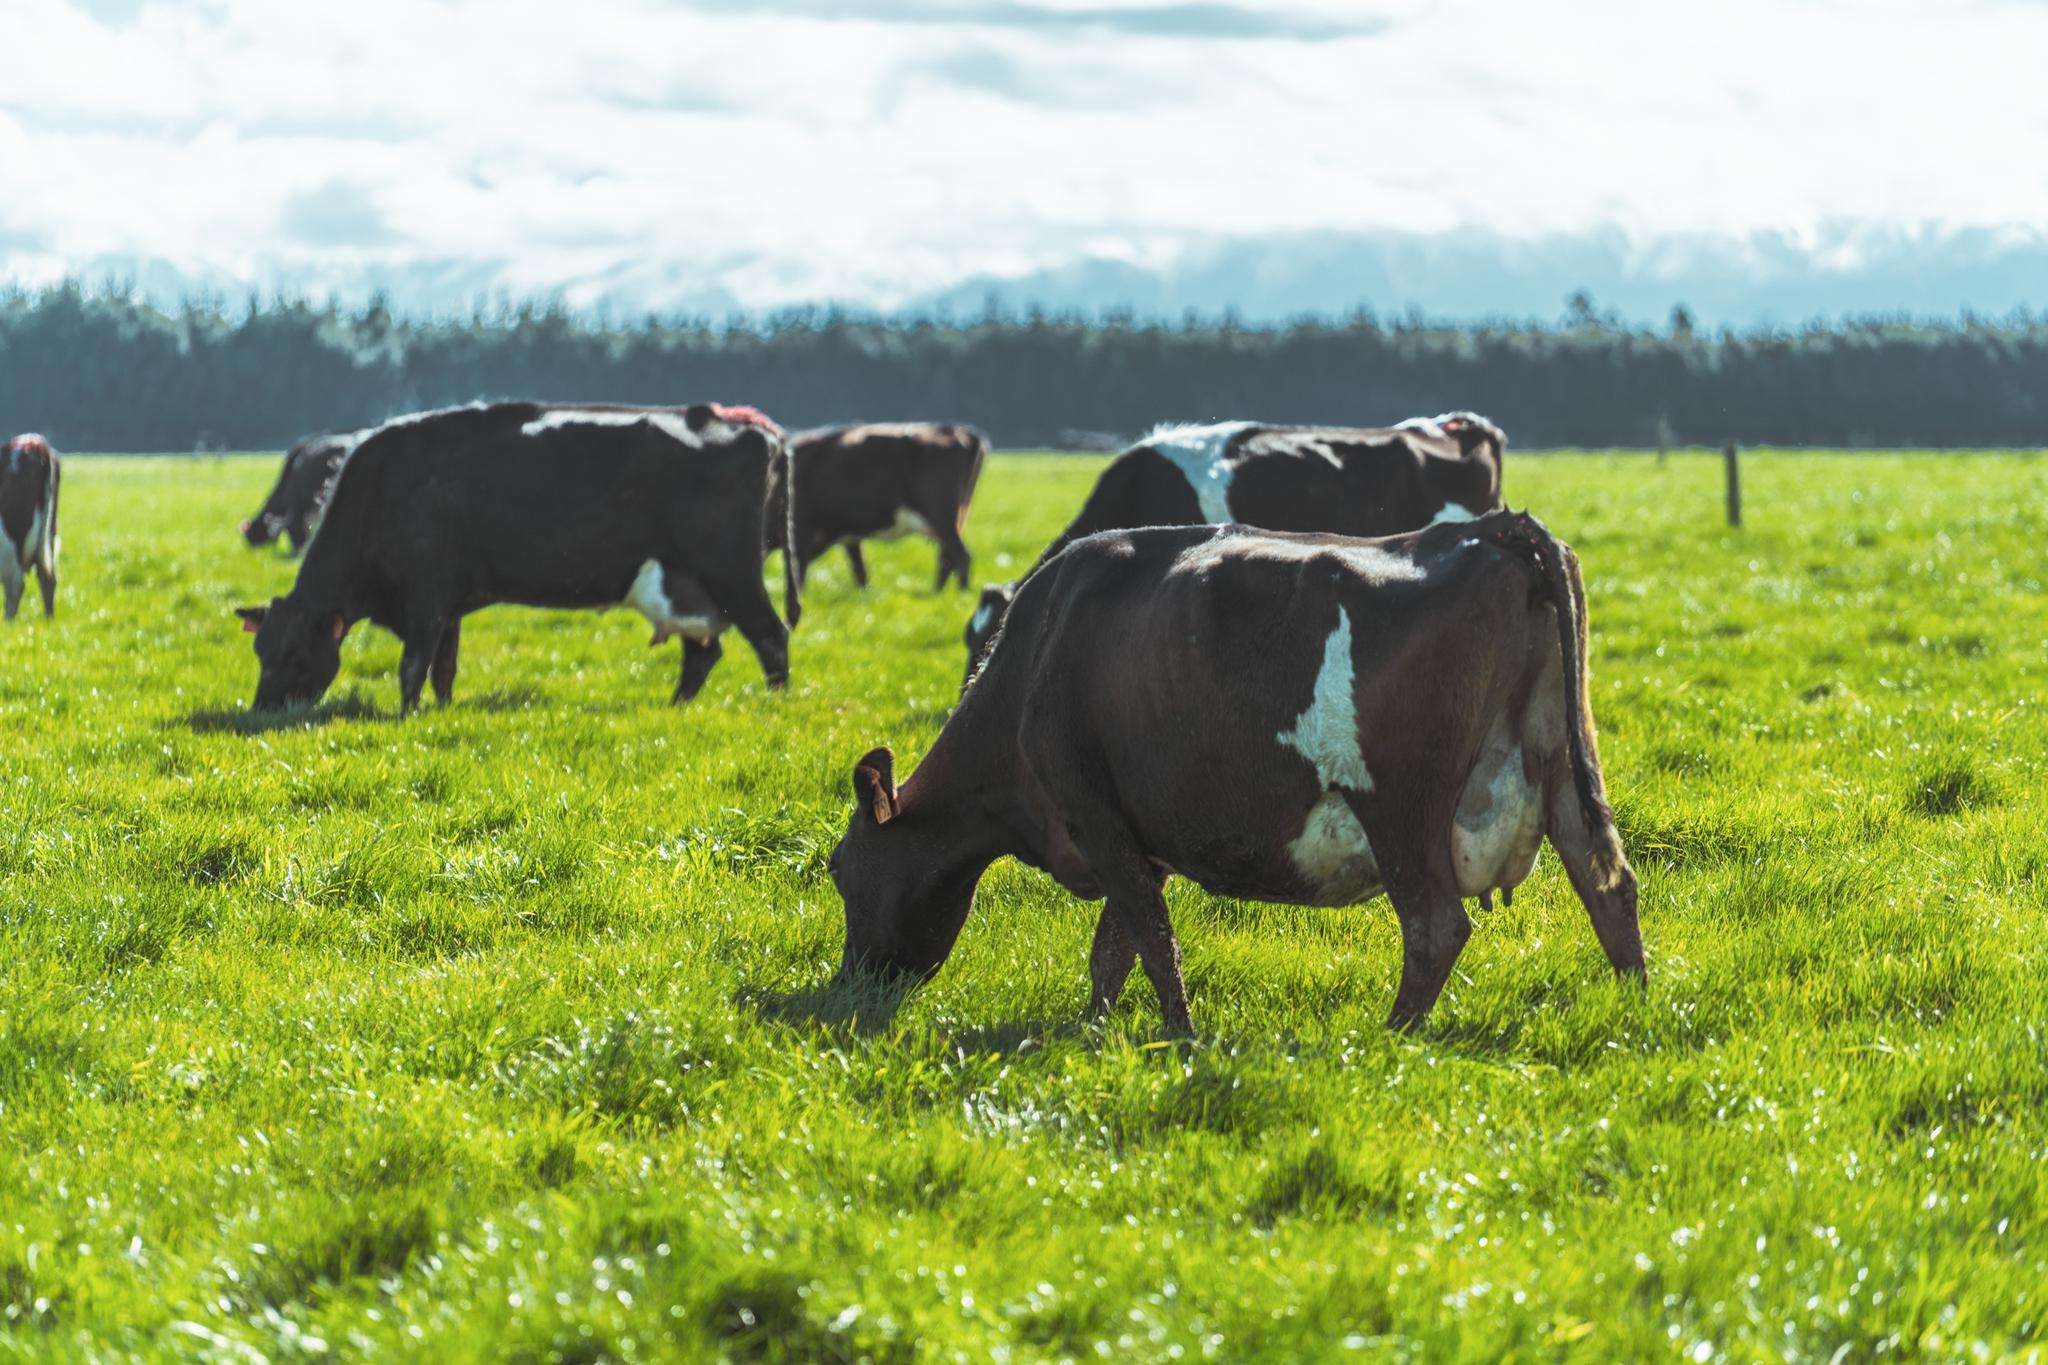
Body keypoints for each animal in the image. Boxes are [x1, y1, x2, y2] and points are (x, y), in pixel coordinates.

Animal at [1, 435, 60, 622]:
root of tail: (34, 442)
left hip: (9, 541)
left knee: (15, 586)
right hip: (49, 536)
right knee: (47, 579)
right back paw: (49, 621)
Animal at [232, 397, 790, 712]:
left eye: (295, 653)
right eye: (260, 651)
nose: (264, 710)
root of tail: (747, 426)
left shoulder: (427, 601)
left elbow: (413, 668)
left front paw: (406, 716)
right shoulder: (450, 608)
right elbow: (443, 671)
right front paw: (441, 712)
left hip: (732, 573)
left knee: (771, 636)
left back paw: (775, 704)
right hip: (688, 582)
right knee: (703, 653)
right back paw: (674, 706)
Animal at [823, 511, 1638, 1035]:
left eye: (838, 869)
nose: (845, 989)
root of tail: (1486, 529)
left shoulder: (1094, 815)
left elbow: (1149, 941)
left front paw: (1179, 1039)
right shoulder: (1136, 833)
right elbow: (1115, 947)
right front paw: (1095, 1031)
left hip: (1400, 811)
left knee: (1436, 927)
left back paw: (1388, 1039)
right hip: (1564, 770)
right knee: (1610, 888)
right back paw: (1636, 1012)